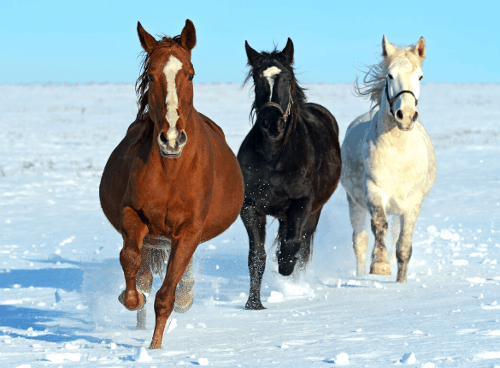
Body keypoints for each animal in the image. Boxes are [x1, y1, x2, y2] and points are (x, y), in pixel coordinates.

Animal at [98, 20, 244, 348]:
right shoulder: (134, 216)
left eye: (190, 73)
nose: (172, 139)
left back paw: (185, 297)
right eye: (151, 75)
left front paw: (154, 349)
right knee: (143, 270)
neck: (171, 171)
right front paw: (132, 299)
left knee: (179, 277)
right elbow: (131, 261)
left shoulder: (189, 230)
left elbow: (166, 297)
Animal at [237, 39, 340, 310]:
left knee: (301, 246)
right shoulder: (250, 206)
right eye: (256, 78)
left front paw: (285, 268)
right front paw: (253, 304)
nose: (272, 122)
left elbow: (292, 245)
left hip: (314, 211)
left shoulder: (302, 204)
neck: (275, 157)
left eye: (287, 78)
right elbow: (257, 256)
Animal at [342, 36, 436, 282]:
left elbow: (403, 246)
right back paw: (360, 277)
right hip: (354, 202)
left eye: (420, 76)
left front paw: (401, 281)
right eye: (390, 75)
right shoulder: (374, 190)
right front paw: (381, 266)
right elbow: (378, 225)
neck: (399, 155)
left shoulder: (412, 204)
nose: (406, 116)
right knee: (360, 241)